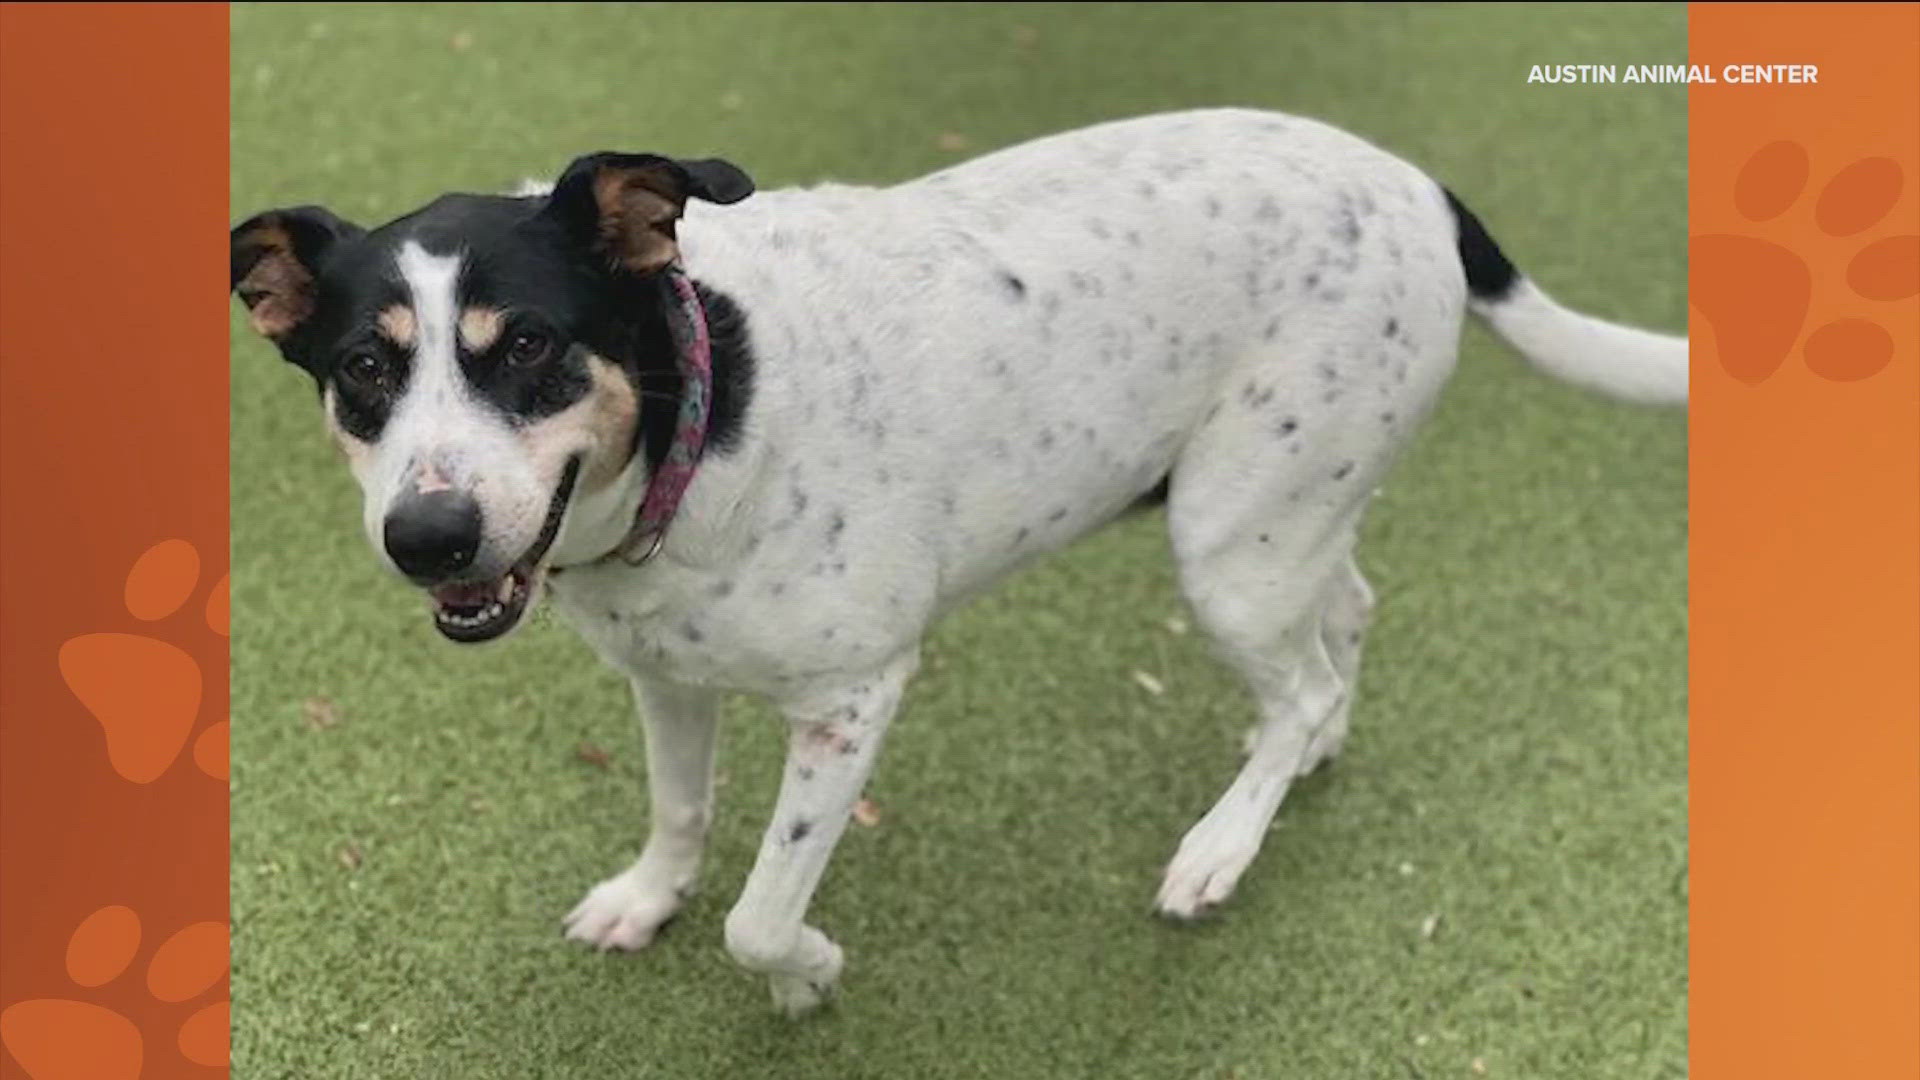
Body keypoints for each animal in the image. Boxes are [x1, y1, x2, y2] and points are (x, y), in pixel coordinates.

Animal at [232, 107, 1689, 1006]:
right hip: (1280, 510)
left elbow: (761, 911)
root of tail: (1415, 184)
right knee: (1346, 618)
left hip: (1230, 542)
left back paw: (1220, 847)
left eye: (527, 344)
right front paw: (647, 900)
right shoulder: (665, 678)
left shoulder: (853, 698)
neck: (706, 415)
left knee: (1308, 677)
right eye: (364, 371)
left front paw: (807, 973)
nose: (426, 538)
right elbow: (680, 811)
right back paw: (1300, 763)